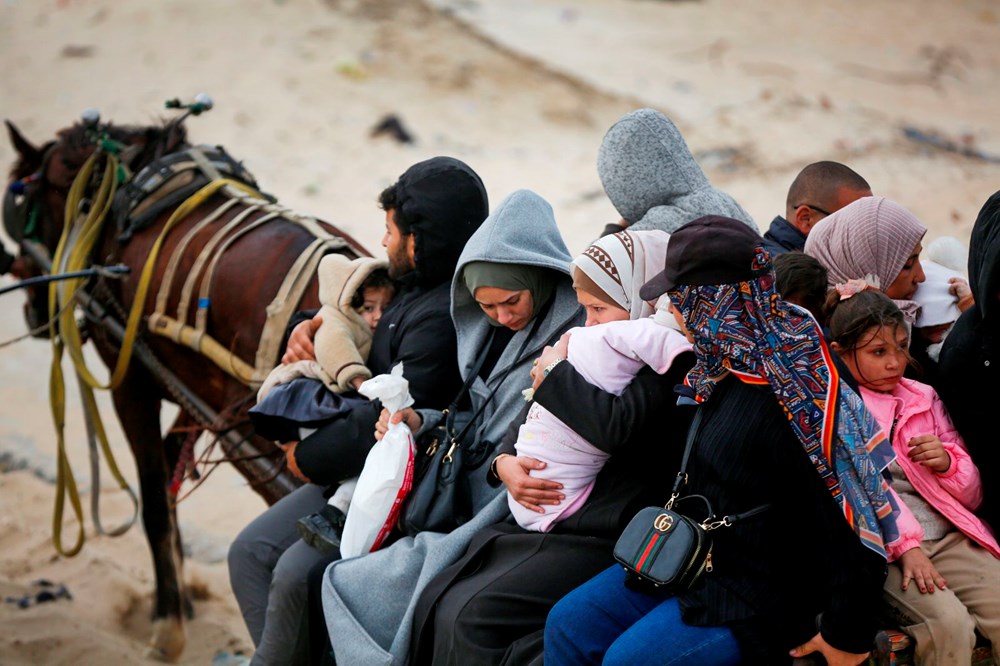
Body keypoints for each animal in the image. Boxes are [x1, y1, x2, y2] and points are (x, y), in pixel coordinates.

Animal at [3, 110, 372, 660]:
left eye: (24, 199)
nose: (31, 304)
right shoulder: (196, 391)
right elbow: (172, 472)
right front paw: (180, 595)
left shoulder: (132, 374)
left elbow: (156, 499)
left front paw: (168, 623)